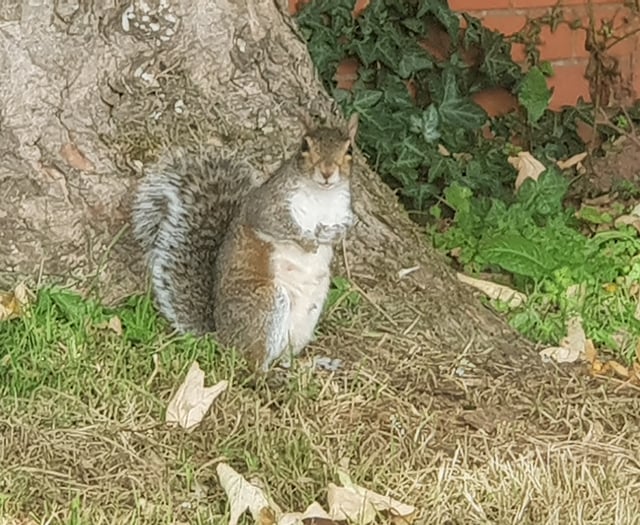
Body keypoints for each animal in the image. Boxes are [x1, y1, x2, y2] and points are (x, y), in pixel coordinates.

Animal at [131, 113, 359, 371]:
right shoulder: (266, 205)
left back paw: (309, 365)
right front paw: (308, 240)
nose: (327, 172)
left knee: (284, 359)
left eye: (349, 149)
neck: (322, 195)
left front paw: (331, 235)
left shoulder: (343, 210)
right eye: (304, 145)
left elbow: (345, 228)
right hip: (267, 304)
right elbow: (276, 223)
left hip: (305, 320)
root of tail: (222, 338)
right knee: (253, 361)